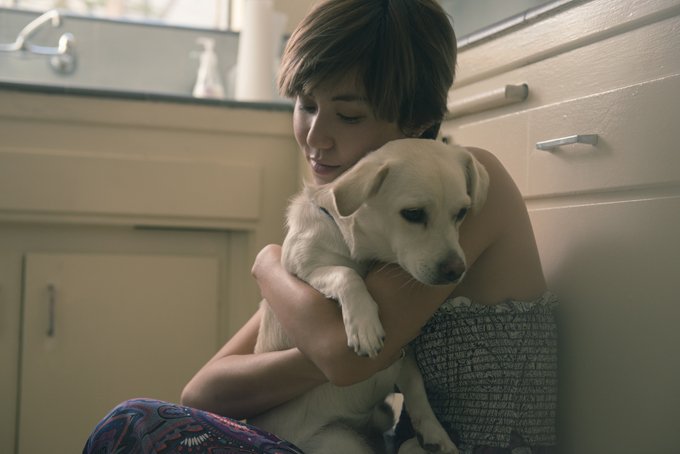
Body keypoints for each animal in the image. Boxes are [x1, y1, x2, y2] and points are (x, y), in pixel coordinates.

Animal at [251, 138, 488, 454]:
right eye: (413, 213)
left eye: (461, 213)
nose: (456, 270)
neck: (364, 252)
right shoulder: (303, 267)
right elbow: (345, 274)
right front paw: (364, 326)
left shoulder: (403, 354)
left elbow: (416, 386)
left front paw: (434, 431)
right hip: (339, 441)